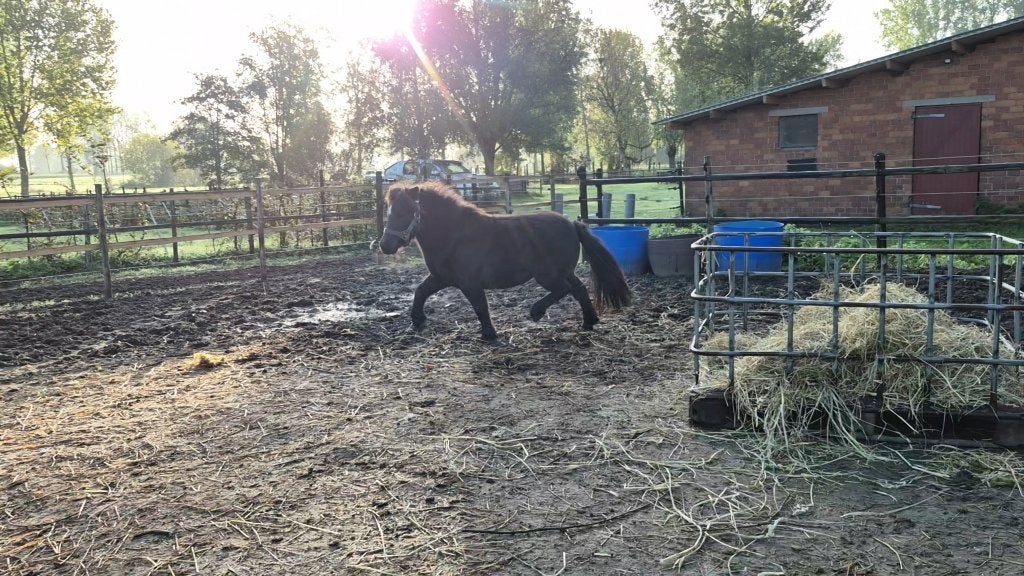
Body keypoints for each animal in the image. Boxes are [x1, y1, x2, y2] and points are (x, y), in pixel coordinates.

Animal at [378, 181, 632, 341]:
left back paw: (537, 311)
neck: (456, 235)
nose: (385, 245)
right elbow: (420, 291)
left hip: (548, 275)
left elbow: (480, 307)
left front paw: (489, 334)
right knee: (578, 290)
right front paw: (418, 321)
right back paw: (589, 322)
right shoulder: (441, 277)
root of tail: (572, 224)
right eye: (390, 212)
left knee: (564, 289)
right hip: (565, 271)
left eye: (404, 212)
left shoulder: (469, 283)